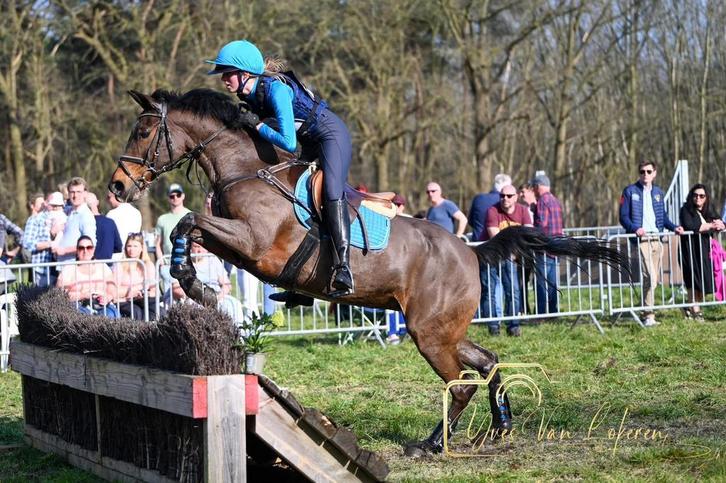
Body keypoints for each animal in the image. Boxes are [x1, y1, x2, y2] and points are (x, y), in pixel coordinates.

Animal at [109, 88, 627, 456]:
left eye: (142, 131)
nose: (116, 187)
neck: (247, 168)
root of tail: (471, 252)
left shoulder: (254, 245)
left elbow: (189, 221)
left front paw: (196, 284)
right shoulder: (237, 245)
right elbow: (192, 230)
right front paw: (193, 283)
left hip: (429, 332)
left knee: (461, 383)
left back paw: (431, 445)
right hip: (444, 329)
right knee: (487, 360)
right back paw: (499, 427)